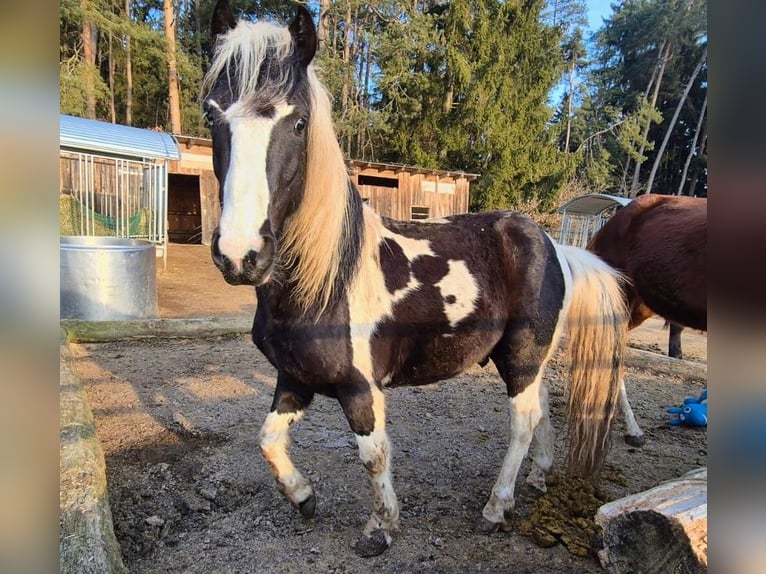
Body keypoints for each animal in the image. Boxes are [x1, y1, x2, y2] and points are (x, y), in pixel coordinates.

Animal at [202, 0, 632, 560]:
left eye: (297, 122)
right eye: (212, 115)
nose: (240, 254)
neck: (322, 284)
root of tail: (555, 246)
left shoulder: (360, 390)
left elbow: (374, 457)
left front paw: (381, 528)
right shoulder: (294, 380)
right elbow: (267, 441)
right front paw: (304, 498)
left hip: (521, 358)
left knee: (521, 422)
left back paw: (496, 508)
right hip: (524, 362)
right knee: (540, 413)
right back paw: (535, 482)